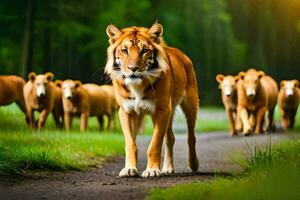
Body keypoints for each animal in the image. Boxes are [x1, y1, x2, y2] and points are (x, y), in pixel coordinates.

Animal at [105, 22, 199, 177]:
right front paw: (129, 169)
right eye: (124, 50)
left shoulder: (162, 110)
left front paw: (152, 170)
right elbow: (130, 143)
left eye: (144, 50)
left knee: (191, 137)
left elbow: (154, 144)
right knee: (170, 138)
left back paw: (194, 165)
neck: (137, 85)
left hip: (190, 106)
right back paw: (168, 168)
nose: (133, 68)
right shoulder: (126, 111)